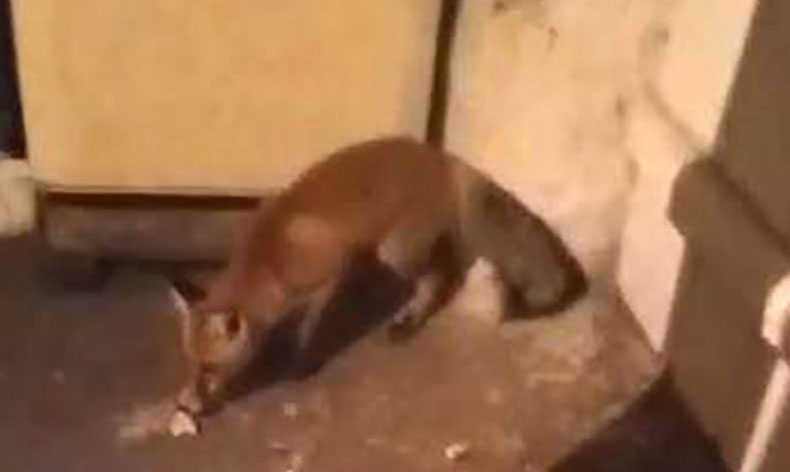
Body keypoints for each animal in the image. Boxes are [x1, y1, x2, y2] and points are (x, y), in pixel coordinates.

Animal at [171, 136, 586, 414]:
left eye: (209, 369)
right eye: (189, 366)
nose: (187, 408)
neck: (269, 263)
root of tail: (443, 159)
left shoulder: (328, 276)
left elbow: (307, 329)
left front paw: (299, 364)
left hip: (396, 252)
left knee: (439, 278)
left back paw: (410, 323)